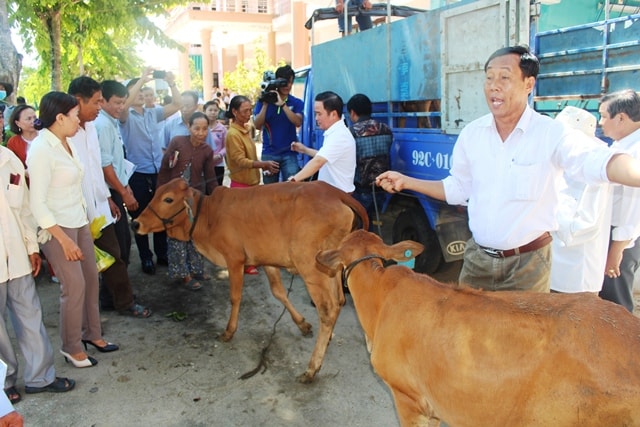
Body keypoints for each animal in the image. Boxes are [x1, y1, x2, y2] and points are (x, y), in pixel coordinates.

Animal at [132, 178, 368, 384]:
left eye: (168, 199)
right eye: (156, 193)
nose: (135, 223)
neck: (208, 215)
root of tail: (333, 191)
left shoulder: (234, 259)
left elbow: (235, 297)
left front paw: (229, 331)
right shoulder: (267, 260)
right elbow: (278, 292)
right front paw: (302, 324)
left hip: (311, 266)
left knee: (328, 308)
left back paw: (312, 368)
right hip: (330, 266)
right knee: (339, 301)